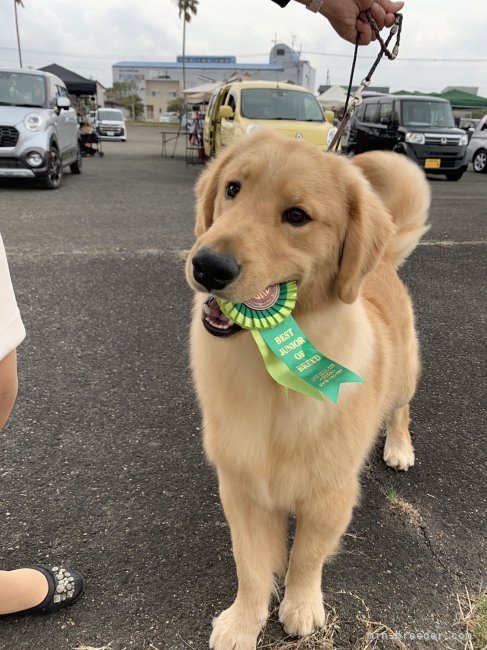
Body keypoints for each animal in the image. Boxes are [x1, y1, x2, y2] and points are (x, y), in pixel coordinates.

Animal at [185, 129, 428, 644]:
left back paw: (399, 446)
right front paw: (242, 622)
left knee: (401, 409)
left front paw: (301, 606)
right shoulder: (241, 488)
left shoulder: (330, 494)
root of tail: (381, 260)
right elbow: (250, 565)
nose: (207, 266)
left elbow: (307, 557)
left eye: (297, 216)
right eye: (232, 189)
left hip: (403, 378)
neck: (269, 369)